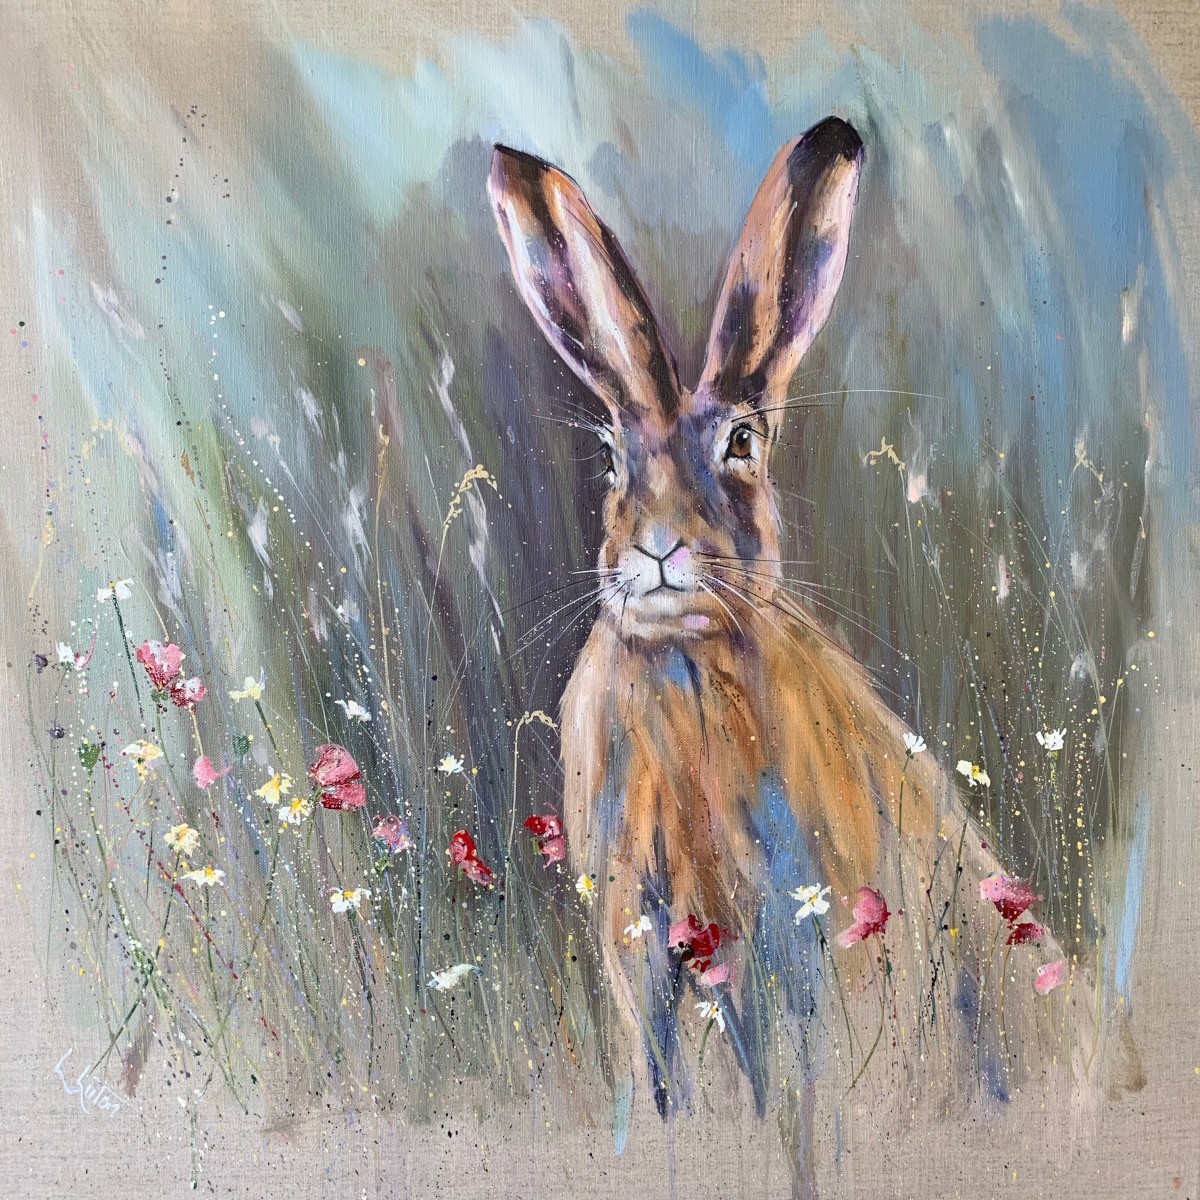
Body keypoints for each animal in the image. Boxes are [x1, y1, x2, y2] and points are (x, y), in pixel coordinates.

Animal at [488, 118, 1120, 1172]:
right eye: (613, 460)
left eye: (743, 444)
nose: (658, 545)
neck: (684, 667)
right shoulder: (646, 961)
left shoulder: (803, 955)